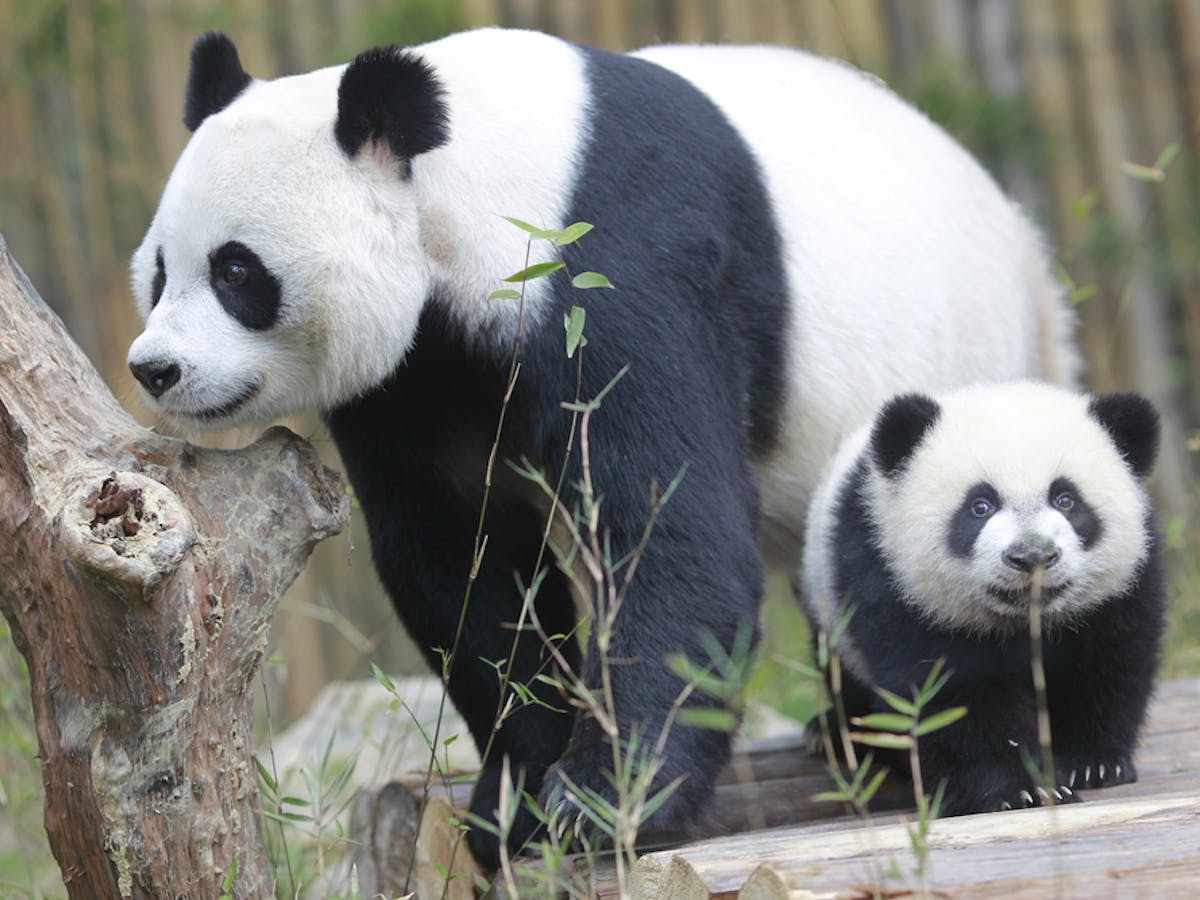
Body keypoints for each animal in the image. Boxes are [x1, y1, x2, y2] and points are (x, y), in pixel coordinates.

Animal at [126, 28, 1079, 865]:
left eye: (237, 271)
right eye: (160, 272)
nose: (155, 369)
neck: (473, 178)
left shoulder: (614, 264)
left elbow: (670, 531)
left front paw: (600, 801)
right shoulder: (418, 373)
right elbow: (461, 558)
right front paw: (516, 799)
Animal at [801, 381, 1164, 814]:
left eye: (1066, 499)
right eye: (980, 506)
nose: (1032, 556)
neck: (1025, 620)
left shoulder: (1119, 589)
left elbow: (1106, 663)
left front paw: (1091, 763)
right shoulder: (893, 580)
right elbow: (950, 693)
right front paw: (1017, 790)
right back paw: (834, 734)